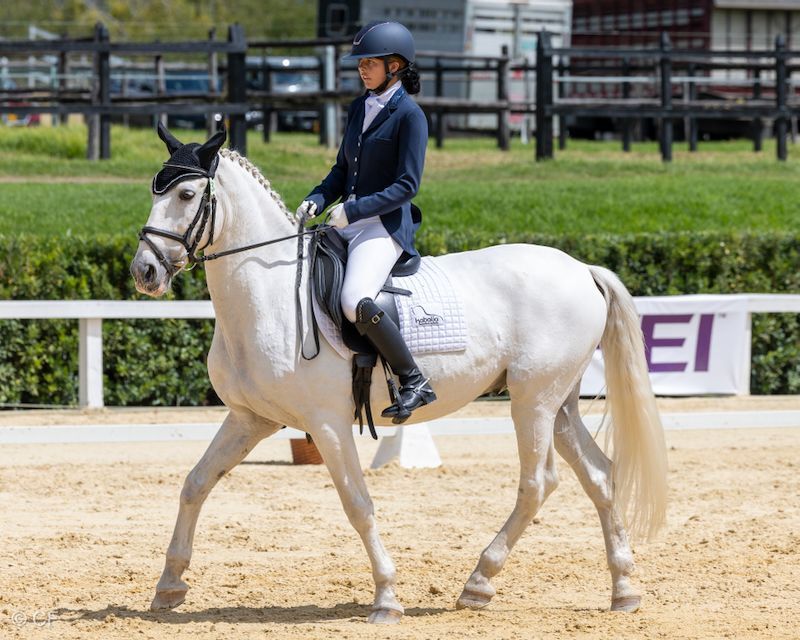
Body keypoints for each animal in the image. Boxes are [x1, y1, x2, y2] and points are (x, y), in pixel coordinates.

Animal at [130, 125, 668, 624]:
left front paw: (387, 597)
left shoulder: (327, 424)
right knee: (599, 475)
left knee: (538, 482)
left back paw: (479, 582)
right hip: (558, 403)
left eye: (185, 195)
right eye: (154, 191)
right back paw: (624, 589)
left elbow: (357, 504)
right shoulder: (250, 419)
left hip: (532, 400)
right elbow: (196, 483)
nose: (144, 271)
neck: (272, 293)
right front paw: (169, 585)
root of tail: (581, 267)